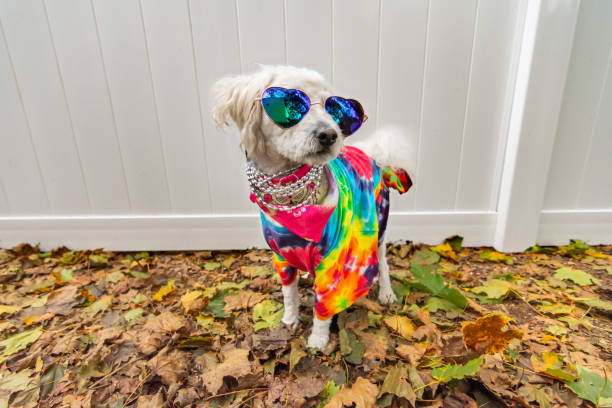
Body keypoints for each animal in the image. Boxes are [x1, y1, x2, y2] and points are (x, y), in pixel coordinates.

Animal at [212, 65, 416, 350]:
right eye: (289, 105)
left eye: (334, 110)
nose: (330, 135)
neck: (295, 207)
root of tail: (372, 154)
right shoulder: (282, 255)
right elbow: (289, 294)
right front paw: (289, 321)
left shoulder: (334, 261)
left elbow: (324, 306)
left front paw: (318, 339)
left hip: (379, 227)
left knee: (384, 264)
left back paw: (386, 293)